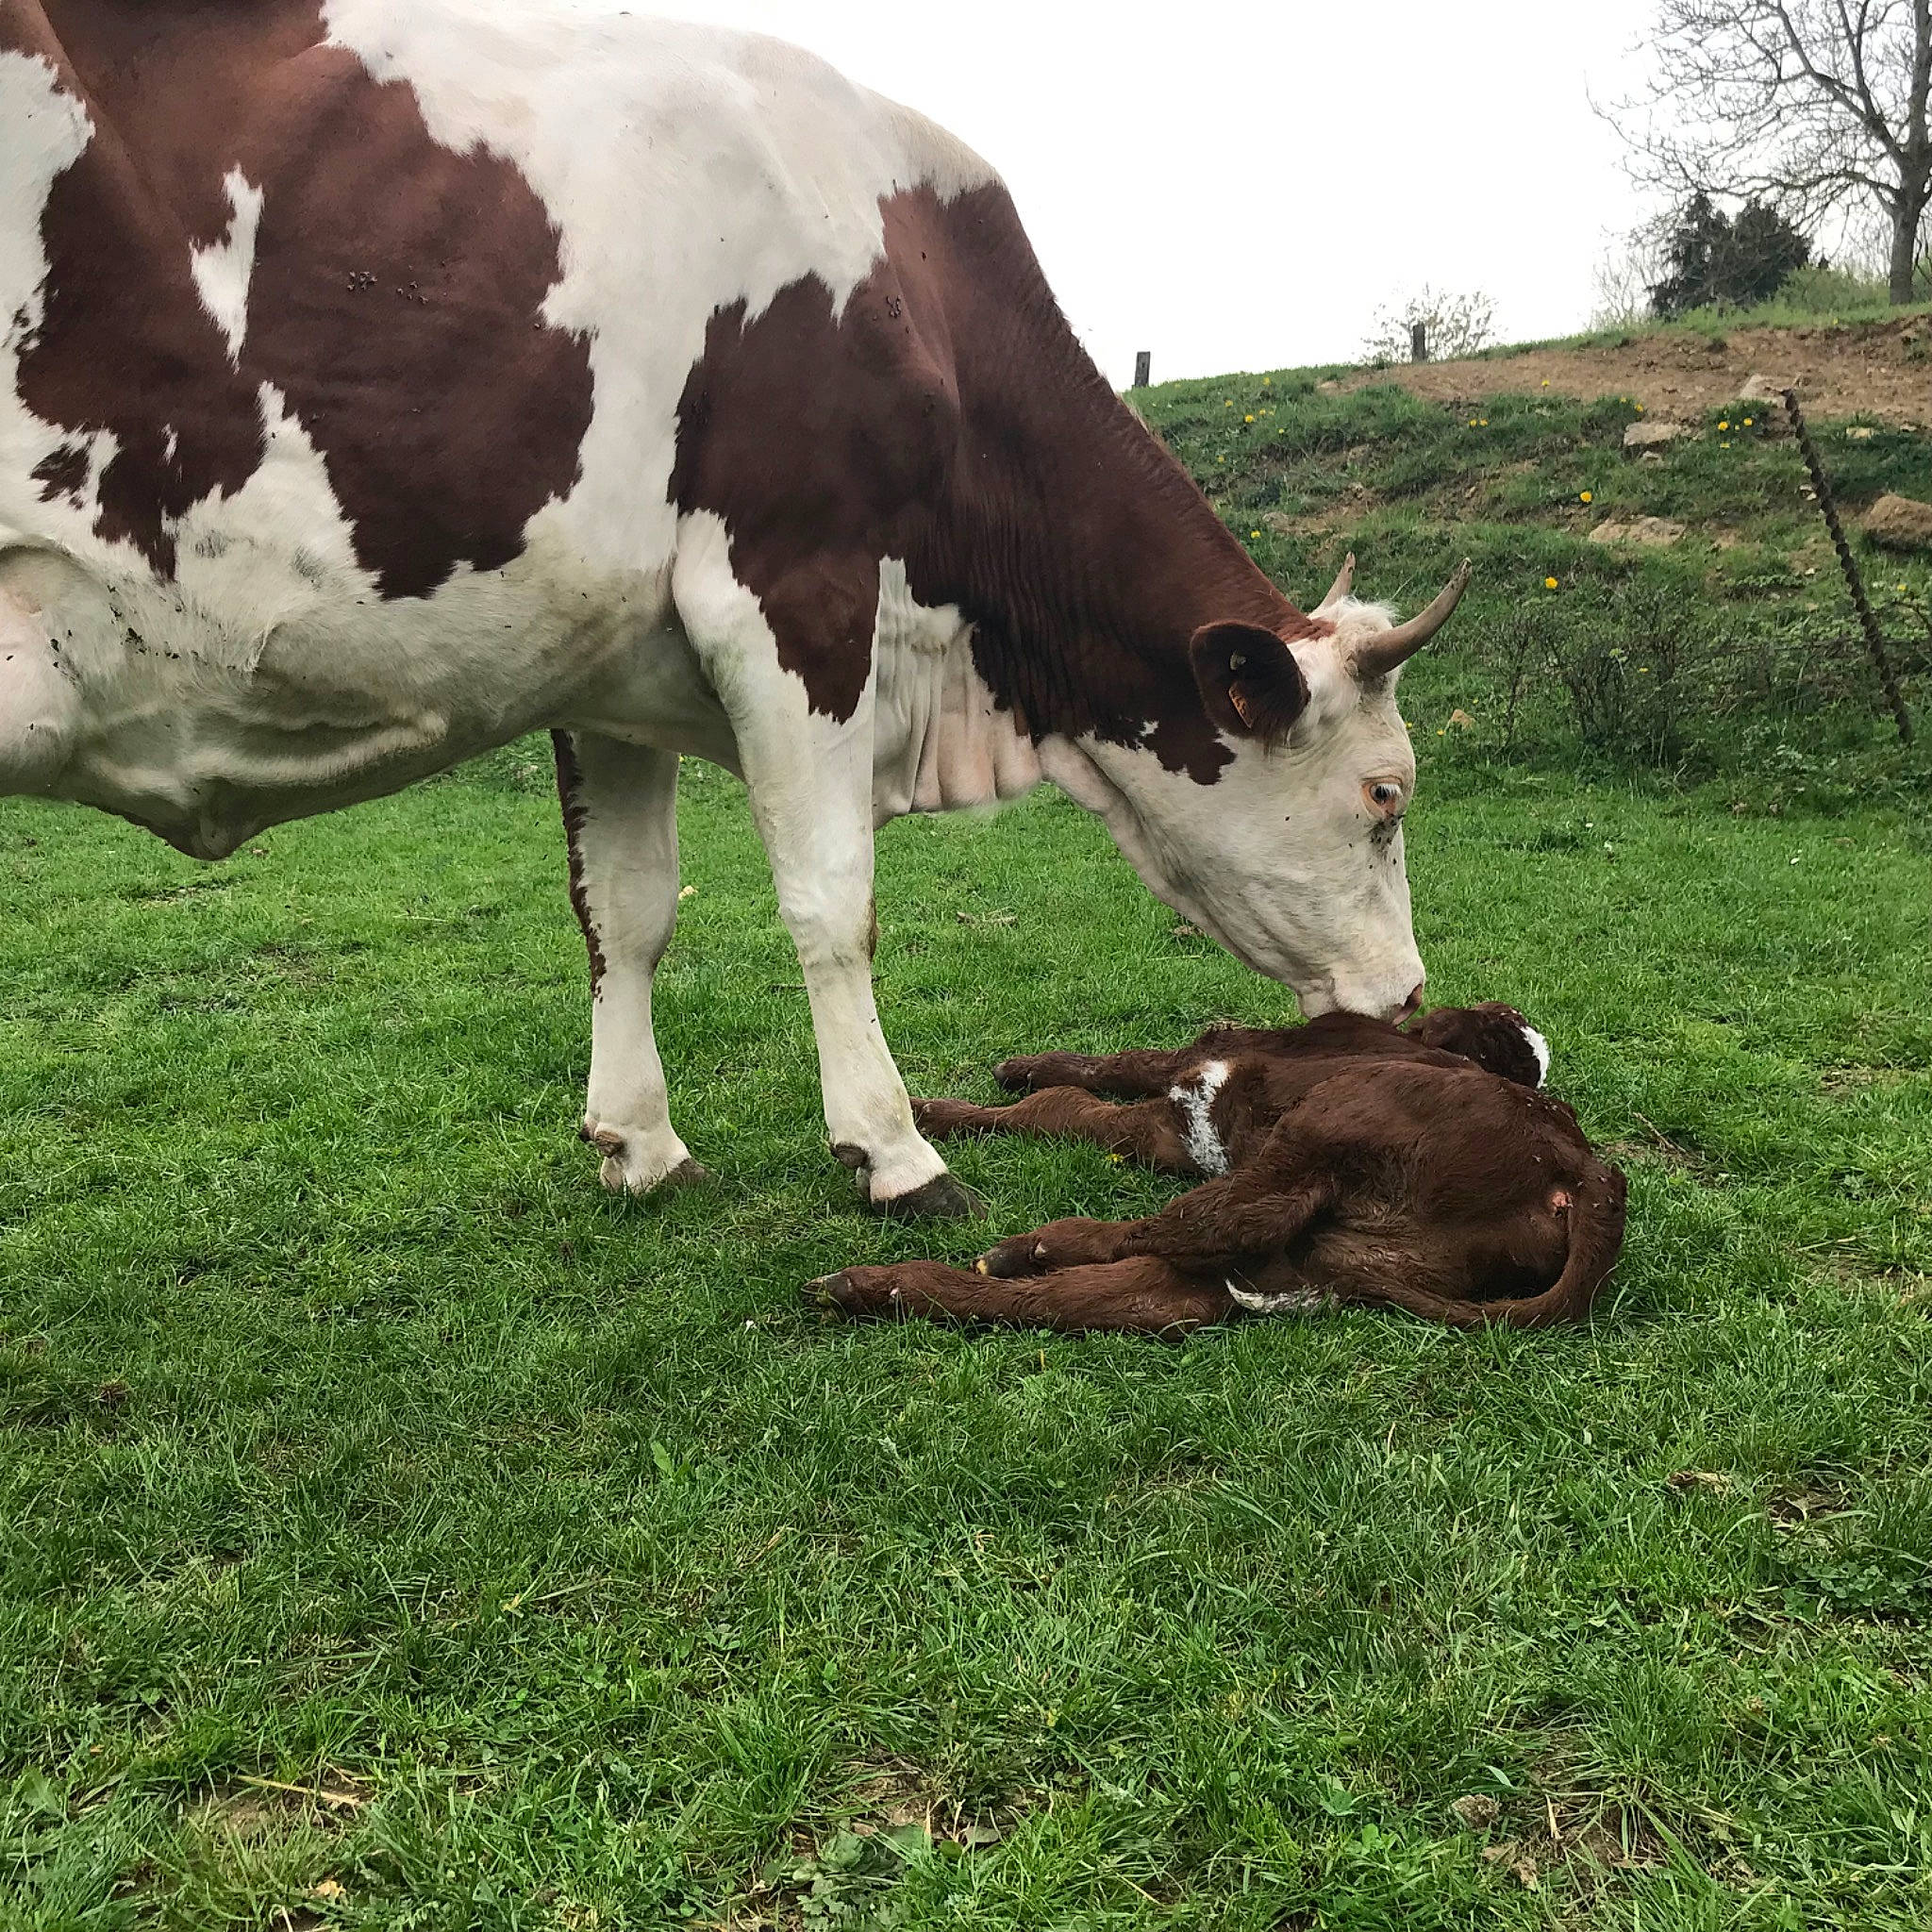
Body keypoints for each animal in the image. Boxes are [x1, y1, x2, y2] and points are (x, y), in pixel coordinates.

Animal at [0, 2, 1468, 1217]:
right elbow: (832, 899)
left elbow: (625, 906)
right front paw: (893, 1150)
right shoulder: (789, 585)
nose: (1410, 995)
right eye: (1383, 794)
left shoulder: (598, 658)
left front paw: (639, 1143)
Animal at [811, 1006, 1628, 1331]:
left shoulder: (1193, 1073)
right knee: (1105, 1299)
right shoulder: (1173, 1125)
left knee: (1201, 1225)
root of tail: (1583, 1175)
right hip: (1332, 1252)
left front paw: (954, 1101)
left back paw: (1027, 1245)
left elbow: (1082, 1085)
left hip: (1330, 1121)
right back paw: (876, 1287)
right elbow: (1073, 1103)